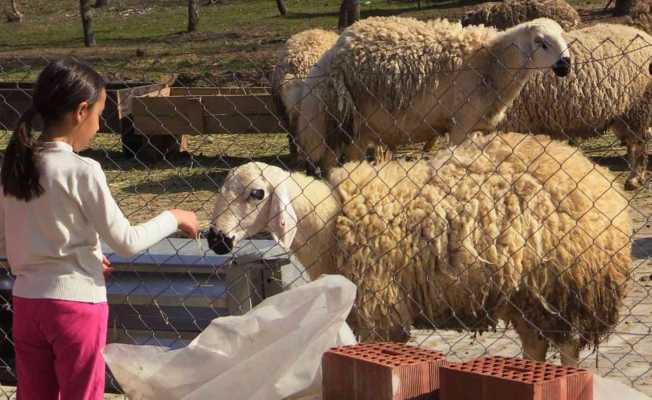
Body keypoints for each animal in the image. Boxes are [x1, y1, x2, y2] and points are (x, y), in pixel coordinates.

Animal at [208, 133, 632, 368]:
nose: (215, 239)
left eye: (256, 193)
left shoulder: (379, 307)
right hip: (526, 295)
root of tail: (601, 182)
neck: (330, 221)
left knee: (567, 350)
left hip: (562, 288)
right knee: (536, 346)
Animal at [296, 15, 572, 175]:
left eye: (563, 37)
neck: (492, 62)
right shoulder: (461, 123)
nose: (565, 65)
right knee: (334, 160)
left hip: (359, 127)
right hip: (343, 121)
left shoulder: (479, 126)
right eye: (541, 42)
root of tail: (333, 52)